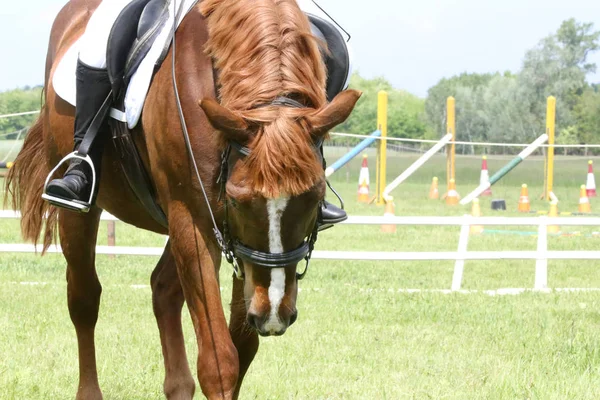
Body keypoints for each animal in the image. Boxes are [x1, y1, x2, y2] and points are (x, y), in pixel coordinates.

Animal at [4, 0, 358, 398]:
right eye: (239, 201)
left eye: (313, 199)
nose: (273, 316)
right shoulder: (195, 219)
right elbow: (220, 360)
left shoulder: (238, 244)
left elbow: (242, 347)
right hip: (81, 210)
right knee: (84, 298)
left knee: (162, 290)